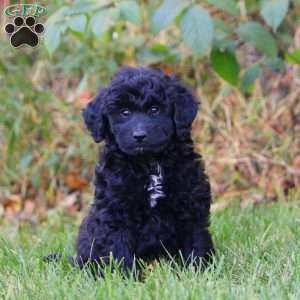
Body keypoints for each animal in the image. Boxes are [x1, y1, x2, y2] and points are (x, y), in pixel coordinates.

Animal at [75, 67, 213, 274]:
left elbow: (196, 240)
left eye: (155, 110)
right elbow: (118, 248)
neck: (149, 163)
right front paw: (125, 276)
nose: (139, 136)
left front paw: (198, 270)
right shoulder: (116, 212)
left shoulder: (191, 204)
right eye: (124, 112)